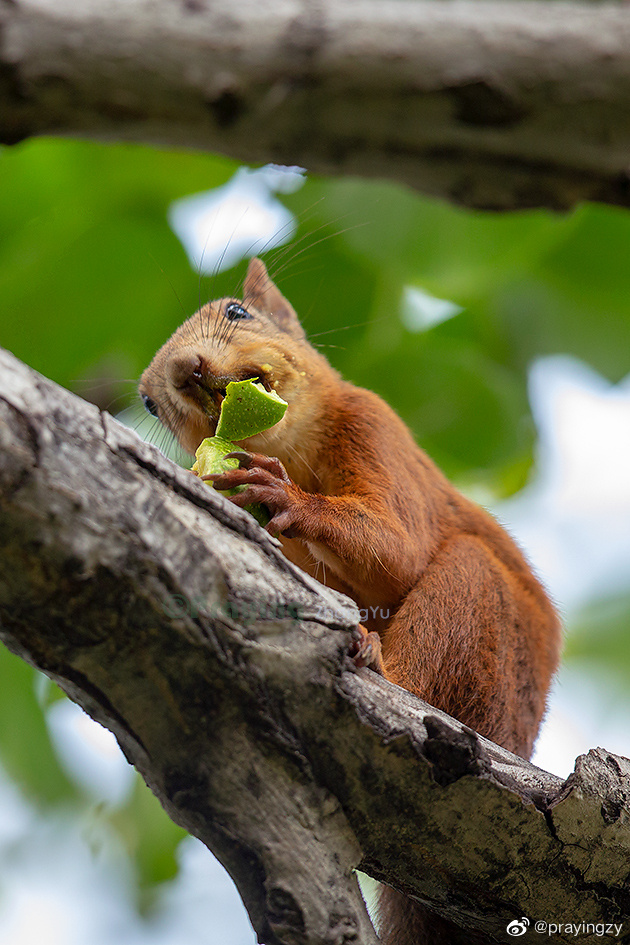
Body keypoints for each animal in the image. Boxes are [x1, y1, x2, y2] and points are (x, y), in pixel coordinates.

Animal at [138, 256, 564, 944]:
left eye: (236, 311)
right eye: (148, 400)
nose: (184, 370)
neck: (293, 448)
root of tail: (520, 734)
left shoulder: (373, 426)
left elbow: (400, 546)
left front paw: (286, 497)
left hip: (487, 644)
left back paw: (378, 661)